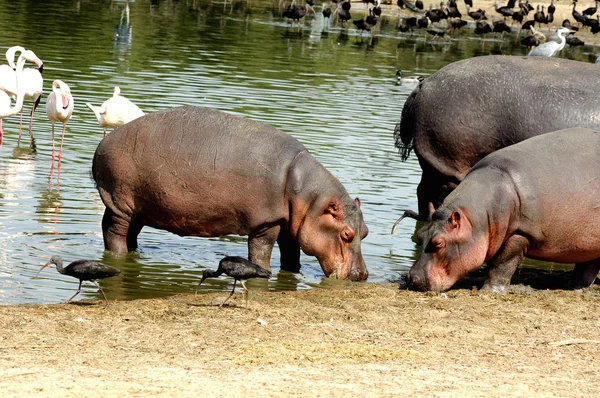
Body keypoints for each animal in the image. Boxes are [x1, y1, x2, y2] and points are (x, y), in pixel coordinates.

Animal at [91, 105, 368, 280]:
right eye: (347, 234)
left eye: (365, 232)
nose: (362, 275)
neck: (309, 199)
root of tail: (104, 142)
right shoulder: (267, 223)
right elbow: (261, 252)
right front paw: (263, 271)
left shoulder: (288, 224)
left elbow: (291, 254)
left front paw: (293, 272)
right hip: (122, 204)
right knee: (115, 233)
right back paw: (120, 256)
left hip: (139, 207)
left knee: (124, 231)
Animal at [410, 127, 600, 292]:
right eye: (419, 236)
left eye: (439, 243)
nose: (412, 279)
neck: (476, 220)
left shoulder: (521, 233)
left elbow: (502, 263)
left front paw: (490, 290)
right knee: (588, 265)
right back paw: (576, 286)